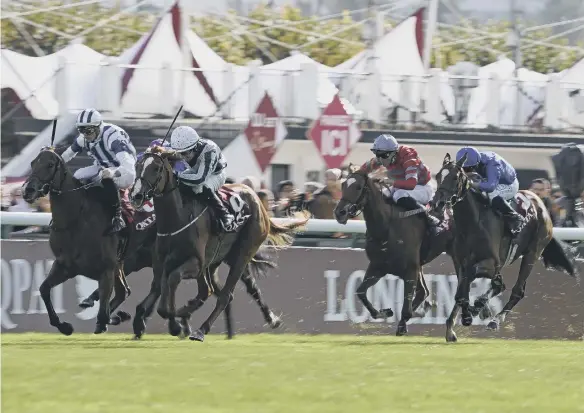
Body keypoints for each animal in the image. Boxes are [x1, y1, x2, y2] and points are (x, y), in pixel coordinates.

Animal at [22, 146, 155, 334]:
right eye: (33, 163)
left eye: (50, 164)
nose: (28, 191)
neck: (76, 220)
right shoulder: (65, 266)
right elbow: (43, 289)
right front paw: (64, 326)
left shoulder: (106, 269)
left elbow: (103, 314)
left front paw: (111, 318)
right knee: (125, 292)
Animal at [131, 146, 308, 340]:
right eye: (137, 166)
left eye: (156, 168)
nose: (136, 196)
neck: (178, 218)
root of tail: (259, 202)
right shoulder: (162, 262)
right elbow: (160, 288)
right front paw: (147, 321)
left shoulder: (195, 263)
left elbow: (173, 281)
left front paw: (176, 323)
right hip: (219, 260)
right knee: (231, 289)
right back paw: (271, 319)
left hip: (243, 253)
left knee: (224, 295)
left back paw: (201, 330)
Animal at [330, 164, 454, 334]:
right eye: (343, 185)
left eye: (358, 187)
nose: (339, 213)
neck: (387, 227)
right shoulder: (378, 267)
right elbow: (361, 291)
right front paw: (384, 312)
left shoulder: (410, 269)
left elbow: (407, 308)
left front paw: (406, 321)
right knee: (423, 292)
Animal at [432, 153, 576, 342]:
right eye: (437, 176)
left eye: (455, 177)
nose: (437, 204)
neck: (472, 222)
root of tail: (541, 204)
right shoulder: (460, 261)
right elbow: (462, 290)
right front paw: (455, 325)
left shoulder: (490, 262)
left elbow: (471, 284)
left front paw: (472, 313)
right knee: (498, 285)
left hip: (532, 253)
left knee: (517, 290)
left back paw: (495, 320)